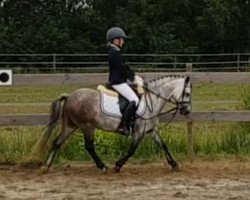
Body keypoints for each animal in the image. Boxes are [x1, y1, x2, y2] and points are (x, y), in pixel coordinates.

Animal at [43, 75, 191, 172]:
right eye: (188, 94)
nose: (186, 111)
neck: (152, 101)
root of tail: (69, 96)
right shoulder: (139, 131)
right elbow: (132, 150)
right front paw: (118, 165)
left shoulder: (151, 130)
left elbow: (163, 145)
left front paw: (174, 164)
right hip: (87, 126)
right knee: (89, 146)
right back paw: (103, 166)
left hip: (71, 126)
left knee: (57, 142)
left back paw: (46, 166)